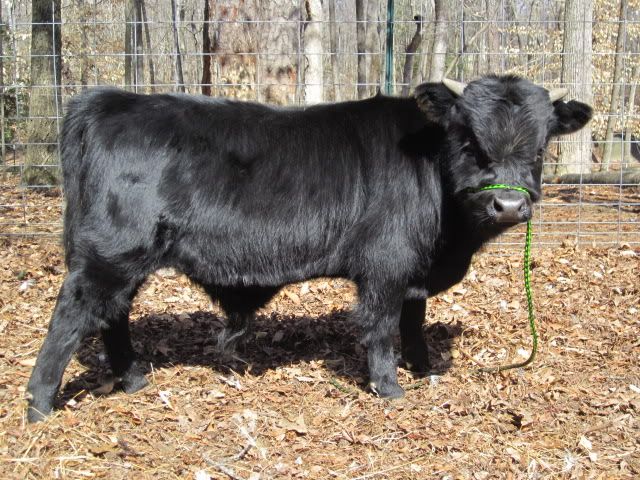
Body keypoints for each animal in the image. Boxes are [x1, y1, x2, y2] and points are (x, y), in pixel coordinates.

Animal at [26, 75, 592, 422]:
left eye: (540, 147)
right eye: (469, 141)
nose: (508, 205)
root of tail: (110, 100)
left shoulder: (414, 271)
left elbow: (413, 320)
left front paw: (424, 367)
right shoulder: (386, 265)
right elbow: (381, 326)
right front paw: (389, 387)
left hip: (126, 261)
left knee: (112, 315)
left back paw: (133, 379)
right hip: (109, 254)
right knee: (71, 317)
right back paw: (39, 403)